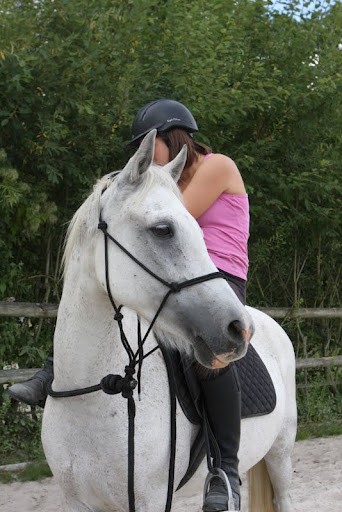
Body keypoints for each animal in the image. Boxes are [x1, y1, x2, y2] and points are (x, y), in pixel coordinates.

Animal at [42, 129, 296, 512]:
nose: (239, 330)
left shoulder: (150, 500)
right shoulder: (77, 503)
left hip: (280, 453)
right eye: (163, 230)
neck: (91, 397)